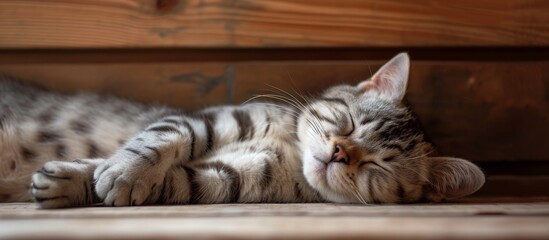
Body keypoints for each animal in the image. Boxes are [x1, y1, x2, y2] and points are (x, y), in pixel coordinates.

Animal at [0, 53, 484, 208]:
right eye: (349, 123)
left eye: (379, 166)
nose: (338, 153)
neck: (289, 150)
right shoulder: (211, 119)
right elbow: (159, 140)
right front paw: (118, 171)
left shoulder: (228, 179)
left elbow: (172, 181)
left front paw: (73, 182)